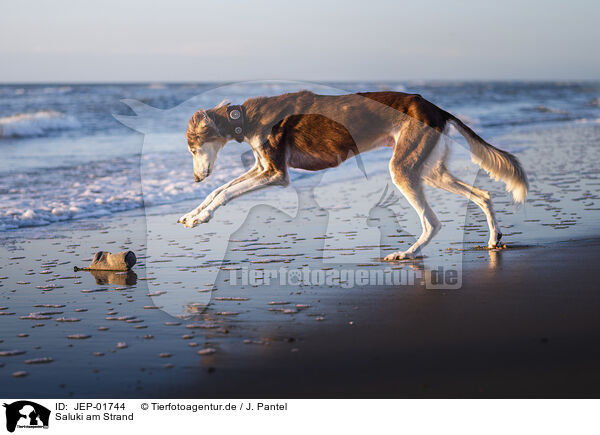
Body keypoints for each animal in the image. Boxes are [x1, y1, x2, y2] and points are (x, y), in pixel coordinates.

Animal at [177, 90, 524, 260]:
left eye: (192, 148)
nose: (195, 179)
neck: (245, 117)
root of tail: (437, 109)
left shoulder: (276, 174)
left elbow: (224, 192)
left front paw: (200, 217)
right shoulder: (263, 168)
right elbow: (217, 190)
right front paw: (193, 215)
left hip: (403, 169)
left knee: (432, 222)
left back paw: (407, 253)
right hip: (428, 170)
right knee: (483, 194)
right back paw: (493, 239)